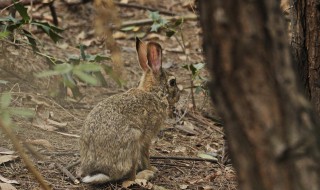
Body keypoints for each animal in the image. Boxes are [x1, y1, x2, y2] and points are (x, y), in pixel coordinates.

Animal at [79, 37, 180, 184]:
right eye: (172, 82)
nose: (178, 97)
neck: (154, 93)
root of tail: (103, 171)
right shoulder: (146, 137)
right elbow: (145, 154)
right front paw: (151, 168)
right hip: (133, 141)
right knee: (130, 176)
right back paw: (144, 175)